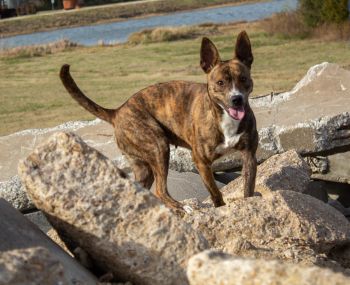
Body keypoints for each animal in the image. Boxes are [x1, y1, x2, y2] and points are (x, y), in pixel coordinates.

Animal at [59, 30, 258, 211]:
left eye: (243, 78)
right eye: (220, 83)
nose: (237, 99)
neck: (224, 117)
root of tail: (117, 112)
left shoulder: (249, 156)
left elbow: (248, 188)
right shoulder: (201, 162)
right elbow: (215, 192)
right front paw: (220, 207)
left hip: (143, 168)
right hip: (158, 146)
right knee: (160, 191)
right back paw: (182, 208)